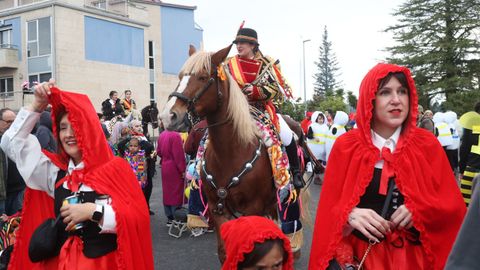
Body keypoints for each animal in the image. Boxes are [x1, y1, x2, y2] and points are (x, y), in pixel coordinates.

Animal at [160, 46, 278, 262]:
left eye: (203, 77)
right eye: (181, 77)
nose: (168, 116)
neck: (231, 152)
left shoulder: (253, 208)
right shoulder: (218, 207)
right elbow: (225, 252)